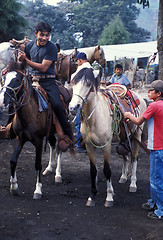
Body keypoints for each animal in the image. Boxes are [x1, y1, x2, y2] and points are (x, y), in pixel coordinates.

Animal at [69, 70, 146, 207]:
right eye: (73, 84)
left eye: (88, 84)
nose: (73, 107)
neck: (95, 117)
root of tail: (141, 97)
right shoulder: (89, 146)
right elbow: (93, 170)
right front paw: (92, 196)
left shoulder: (106, 145)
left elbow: (107, 170)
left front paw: (109, 197)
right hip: (123, 138)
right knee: (124, 156)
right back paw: (123, 177)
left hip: (137, 134)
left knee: (134, 158)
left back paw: (132, 184)